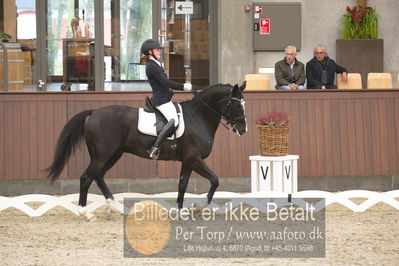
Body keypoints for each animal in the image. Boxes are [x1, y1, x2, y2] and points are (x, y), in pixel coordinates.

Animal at [47, 82, 247, 219]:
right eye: (237, 105)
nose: (243, 129)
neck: (198, 116)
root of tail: (94, 112)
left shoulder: (188, 161)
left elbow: (182, 185)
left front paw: (180, 210)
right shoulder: (194, 159)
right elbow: (215, 180)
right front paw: (200, 206)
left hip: (113, 155)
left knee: (98, 176)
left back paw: (115, 207)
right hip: (101, 156)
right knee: (86, 178)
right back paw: (85, 212)